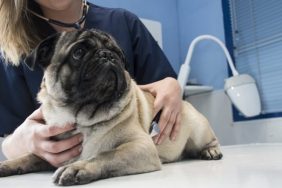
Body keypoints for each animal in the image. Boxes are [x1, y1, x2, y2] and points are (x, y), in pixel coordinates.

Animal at [0, 29, 221, 185]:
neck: (82, 117)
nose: (107, 55)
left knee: (210, 140)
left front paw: (79, 168)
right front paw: (7, 165)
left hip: (198, 129)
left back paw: (211, 151)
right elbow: (29, 156)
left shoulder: (140, 146)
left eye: (118, 55)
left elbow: (106, 154)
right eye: (78, 52)